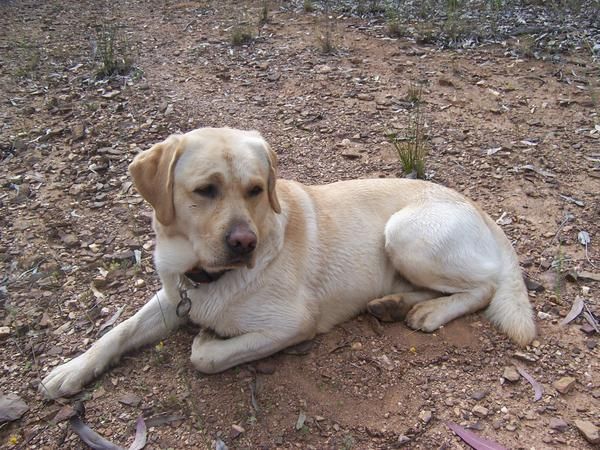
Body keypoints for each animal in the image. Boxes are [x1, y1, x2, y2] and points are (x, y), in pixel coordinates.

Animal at [39, 126, 536, 398]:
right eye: (205, 190)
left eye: (256, 189)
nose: (245, 242)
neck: (205, 276)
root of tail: (481, 210)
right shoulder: (173, 296)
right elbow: (119, 331)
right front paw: (71, 369)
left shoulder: (294, 324)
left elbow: (208, 358)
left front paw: (206, 341)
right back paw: (394, 304)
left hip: (405, 233)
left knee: (484, 287)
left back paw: (430, 313)